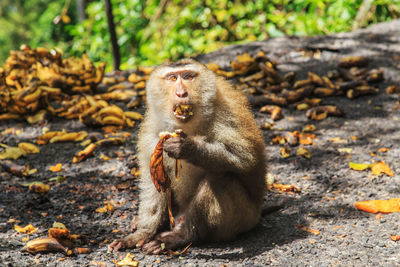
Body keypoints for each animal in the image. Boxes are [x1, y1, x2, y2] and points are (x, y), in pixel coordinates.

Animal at [109, 58, 266, 255]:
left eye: (188, 76)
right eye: (172, 78)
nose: (181, 92)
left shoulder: (227, 114)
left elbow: (245, 159)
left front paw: (188, 148)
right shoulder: (151, 132)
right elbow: (153, 180)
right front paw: (142, 233)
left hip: (245, 218)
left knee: (220, 178)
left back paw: (182, 235)